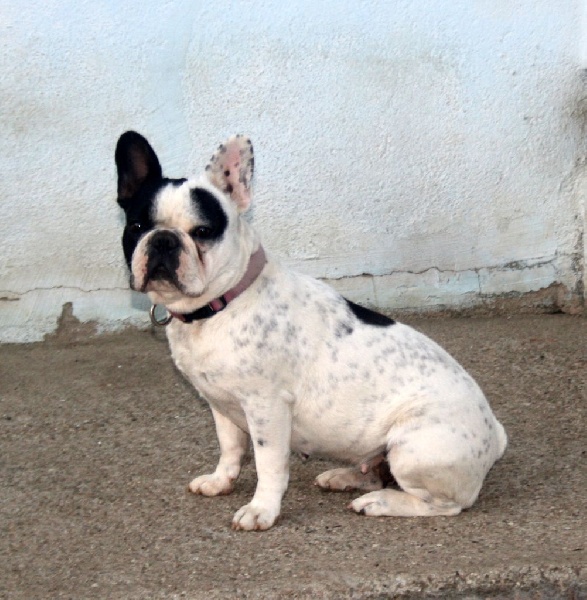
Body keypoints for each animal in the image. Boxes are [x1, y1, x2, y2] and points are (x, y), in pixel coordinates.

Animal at [116, 131, 510, 528]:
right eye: (136, 227)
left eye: (202, 232)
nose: (163, 240)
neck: (221, 304)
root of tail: (495, 434)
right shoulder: (220, 404)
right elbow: (230, 448)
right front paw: (220, 480)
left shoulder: (267, 407)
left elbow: (269, 464)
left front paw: (262, 509)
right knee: (374, 470)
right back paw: (344, 477)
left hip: (413, 447)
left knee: (442, 504)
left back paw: (380, 502)